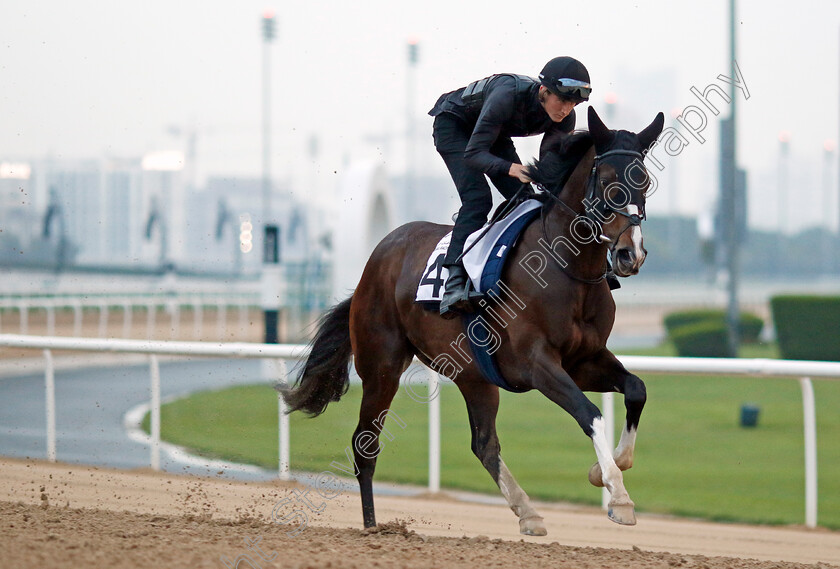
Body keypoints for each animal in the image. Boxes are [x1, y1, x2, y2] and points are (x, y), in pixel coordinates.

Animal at [286, 107, 668, 536]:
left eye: (645, 180)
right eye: (605, 181)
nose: (630, 254)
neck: (568, 268)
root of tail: (376, 260)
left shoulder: (584, 360)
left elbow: (636, 390)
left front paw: (605, 469)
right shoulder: (537, 364)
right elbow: (591, 414)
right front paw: (619, 497)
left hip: (474, 375)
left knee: (484, 443)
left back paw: (528, 512)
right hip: (382, 367)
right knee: (364, 446)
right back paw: (372, 528)